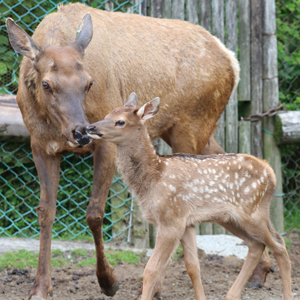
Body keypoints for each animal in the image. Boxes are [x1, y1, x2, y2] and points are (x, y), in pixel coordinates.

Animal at [4, 2, 264, 300]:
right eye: (46, 84)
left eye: (89, 82)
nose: (80, 132)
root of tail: (232, 60)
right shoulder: (40, 144)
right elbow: (45, 212)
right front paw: (40, 287)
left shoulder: (106, 143)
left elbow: (95, 213)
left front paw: (108, 281)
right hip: (193, 130)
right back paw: (260, 272)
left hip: (193, 126)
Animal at [85, 92, 292, 298]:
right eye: (108, 113)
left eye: (120, 121)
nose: (90, 127)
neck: (153, 178)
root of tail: (271, 173)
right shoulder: (187, 223)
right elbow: (192, 267)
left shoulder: (171, 220)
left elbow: (151, 270)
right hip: (229, 218)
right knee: (257, 245)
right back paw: (231, 294)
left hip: (253, 212)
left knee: (279, 245)